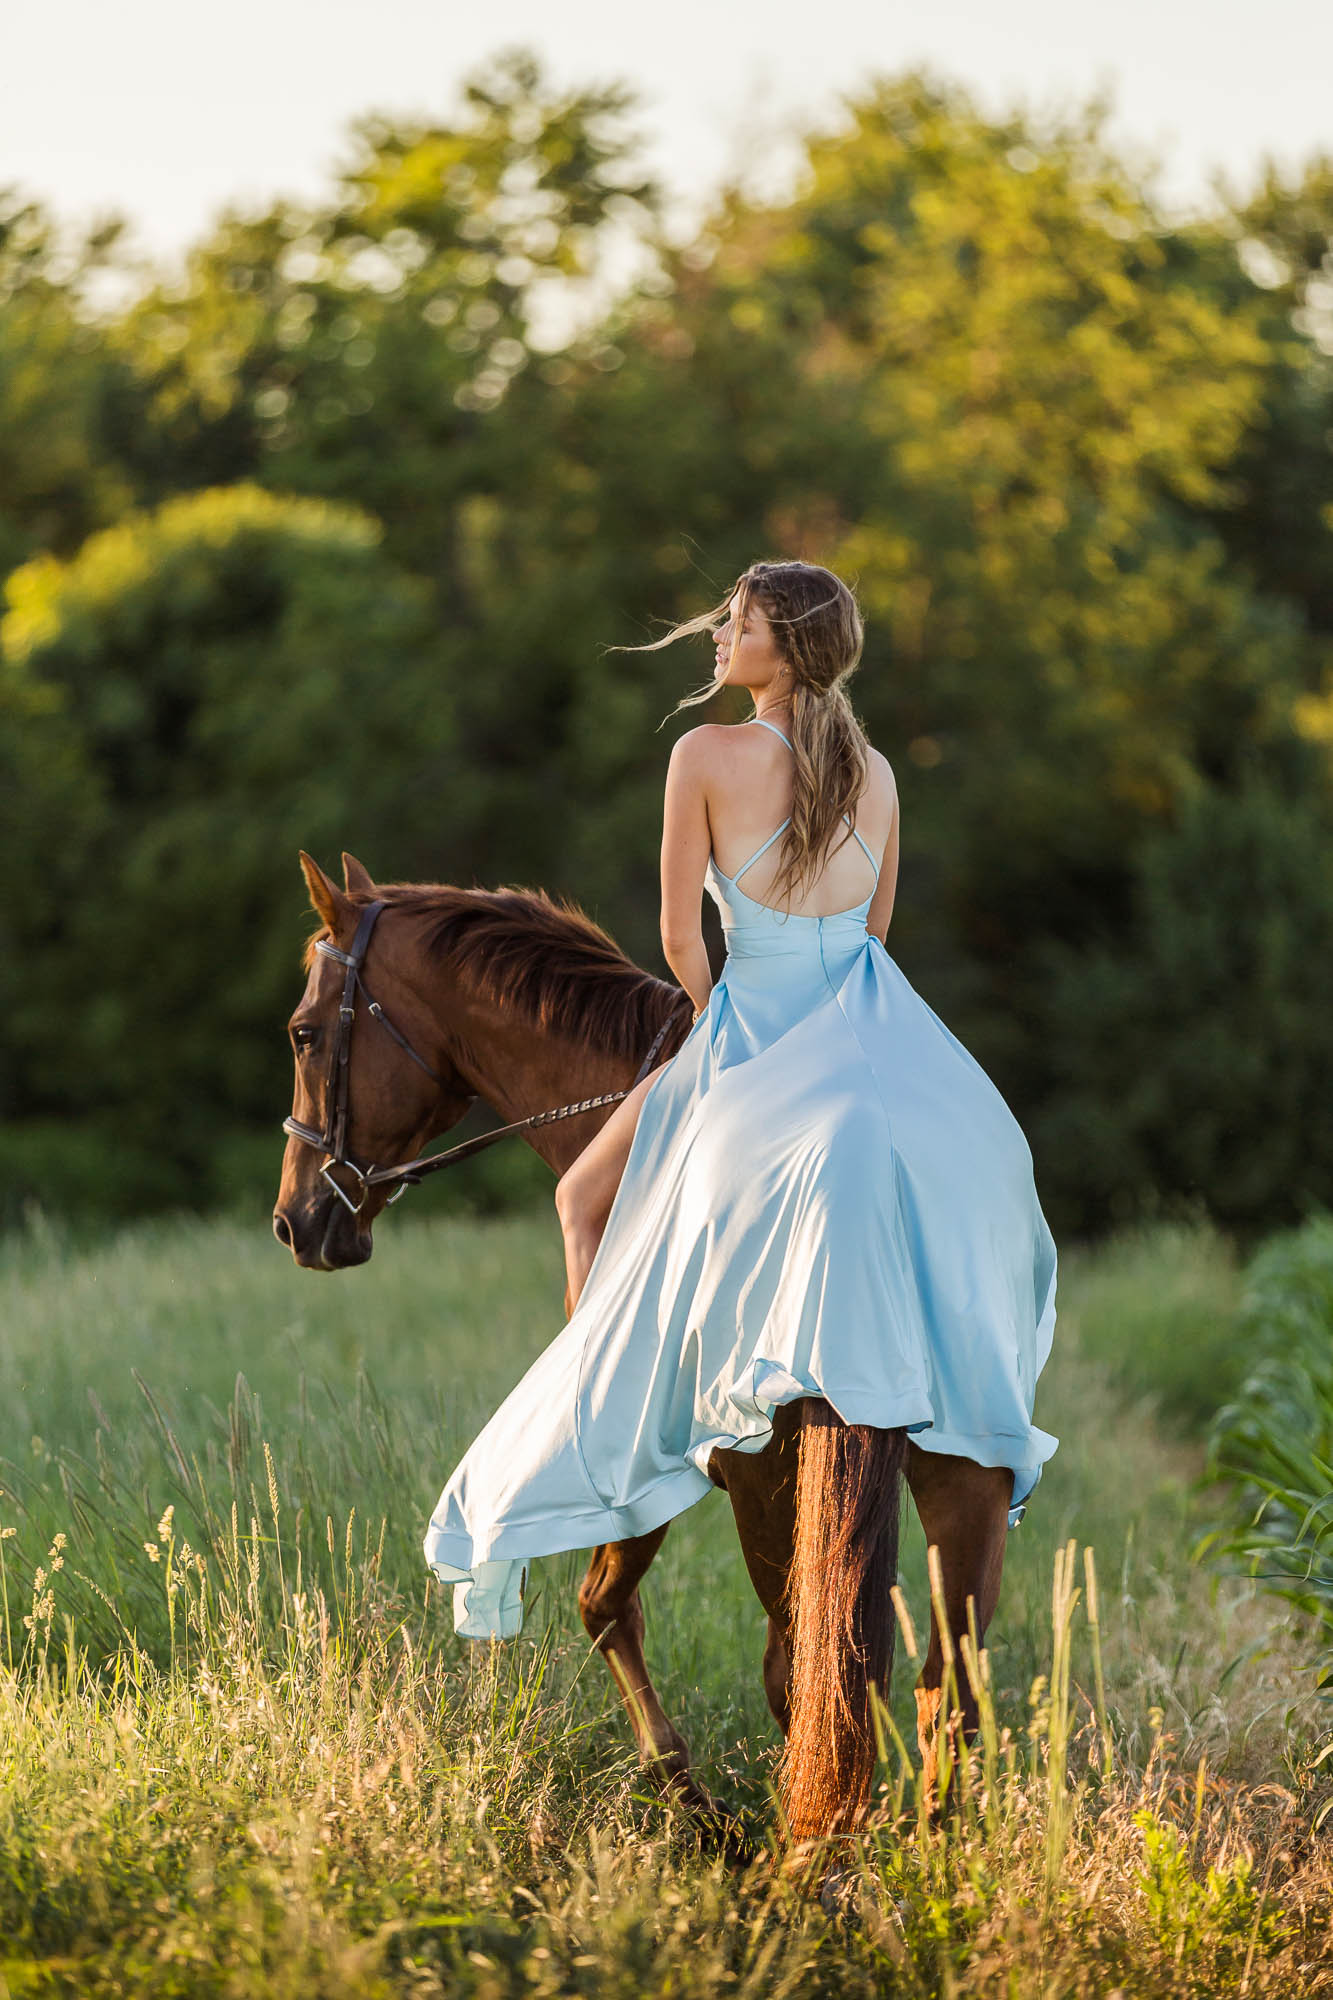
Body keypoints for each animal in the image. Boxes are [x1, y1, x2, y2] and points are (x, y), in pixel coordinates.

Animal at [274, 852, 1012, 1848]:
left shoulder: (647, 1445)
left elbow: (603, 1606)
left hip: (773, 1471)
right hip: (968, 1467)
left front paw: (689, 1798)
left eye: (304, 1035)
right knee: (945, 1683)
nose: (296, 1221)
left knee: (806, 1669)